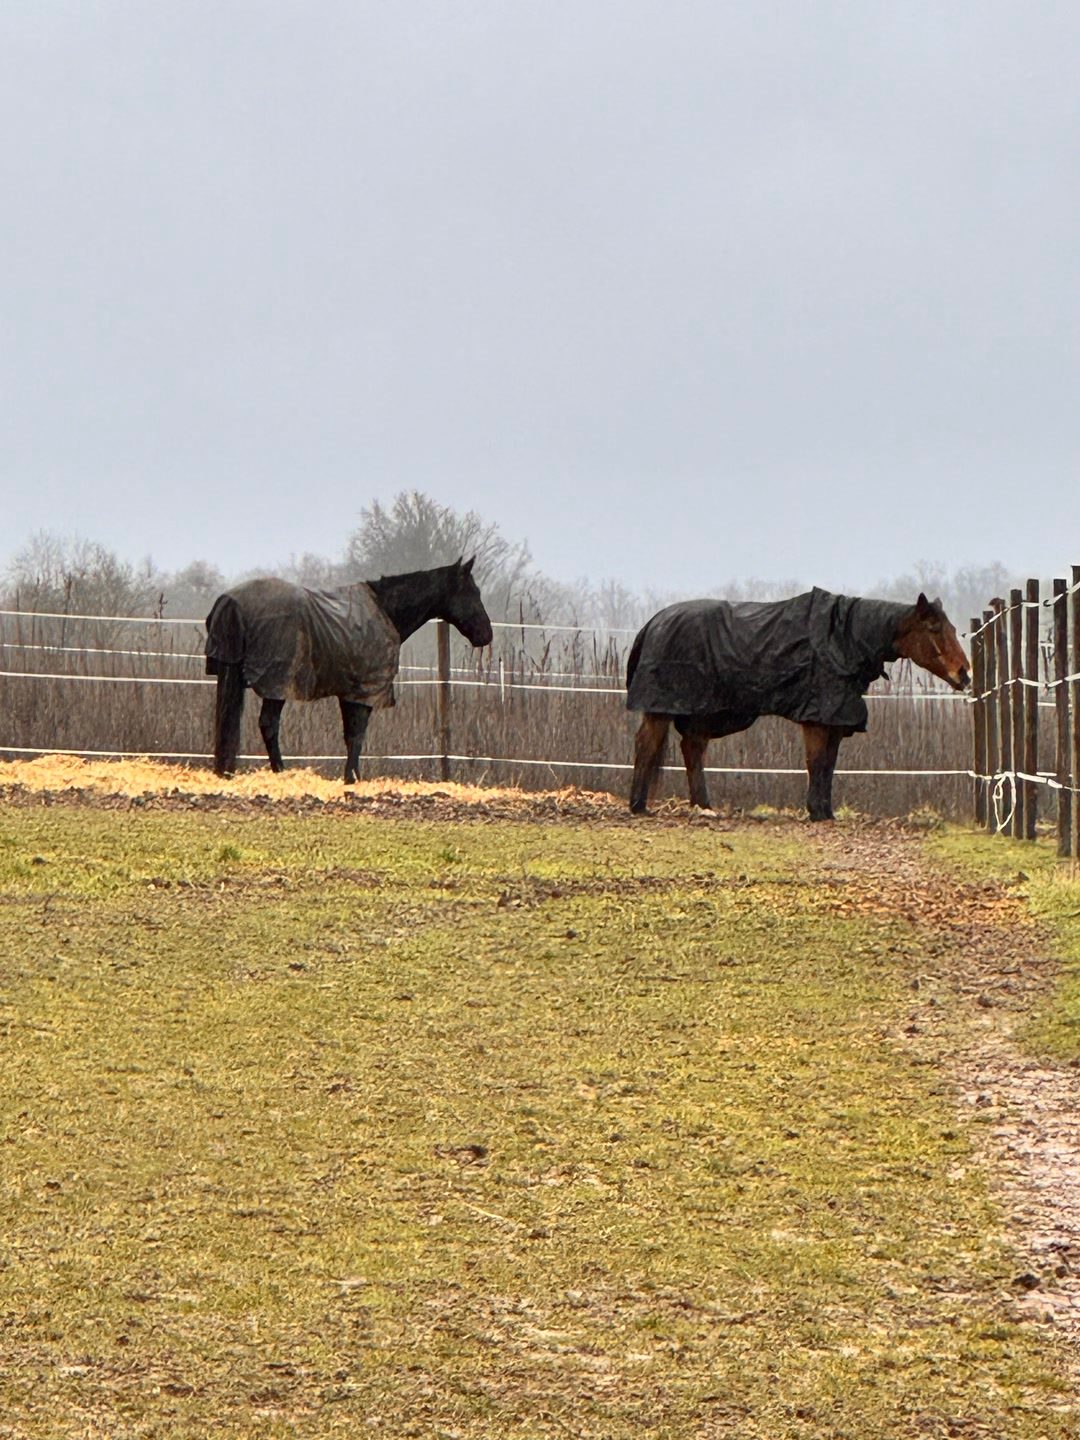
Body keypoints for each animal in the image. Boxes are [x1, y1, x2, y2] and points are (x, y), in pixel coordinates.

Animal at [205, 557, 493, 782]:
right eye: (472, 592)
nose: (486, 634)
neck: (385, 611)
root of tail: (231, 601)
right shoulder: (363, 692)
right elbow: (357, 735)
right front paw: (352, 777)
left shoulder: (349, 692)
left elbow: (349, 735)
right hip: (277, 684)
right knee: (268, 725)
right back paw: (281, 771)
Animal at [626, 588, 970, 821]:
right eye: (934, 629)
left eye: (953, 629)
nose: (964, 674)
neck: (843, 640)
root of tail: (653, 623)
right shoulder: (816, 721)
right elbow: (817, 763)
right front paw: (816, 811)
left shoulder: (834, 722)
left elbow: (829, 765)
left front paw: (826, 811)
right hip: (661, 710)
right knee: (647, 744)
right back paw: (639, 805)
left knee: (692, 747)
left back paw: (703, 805)